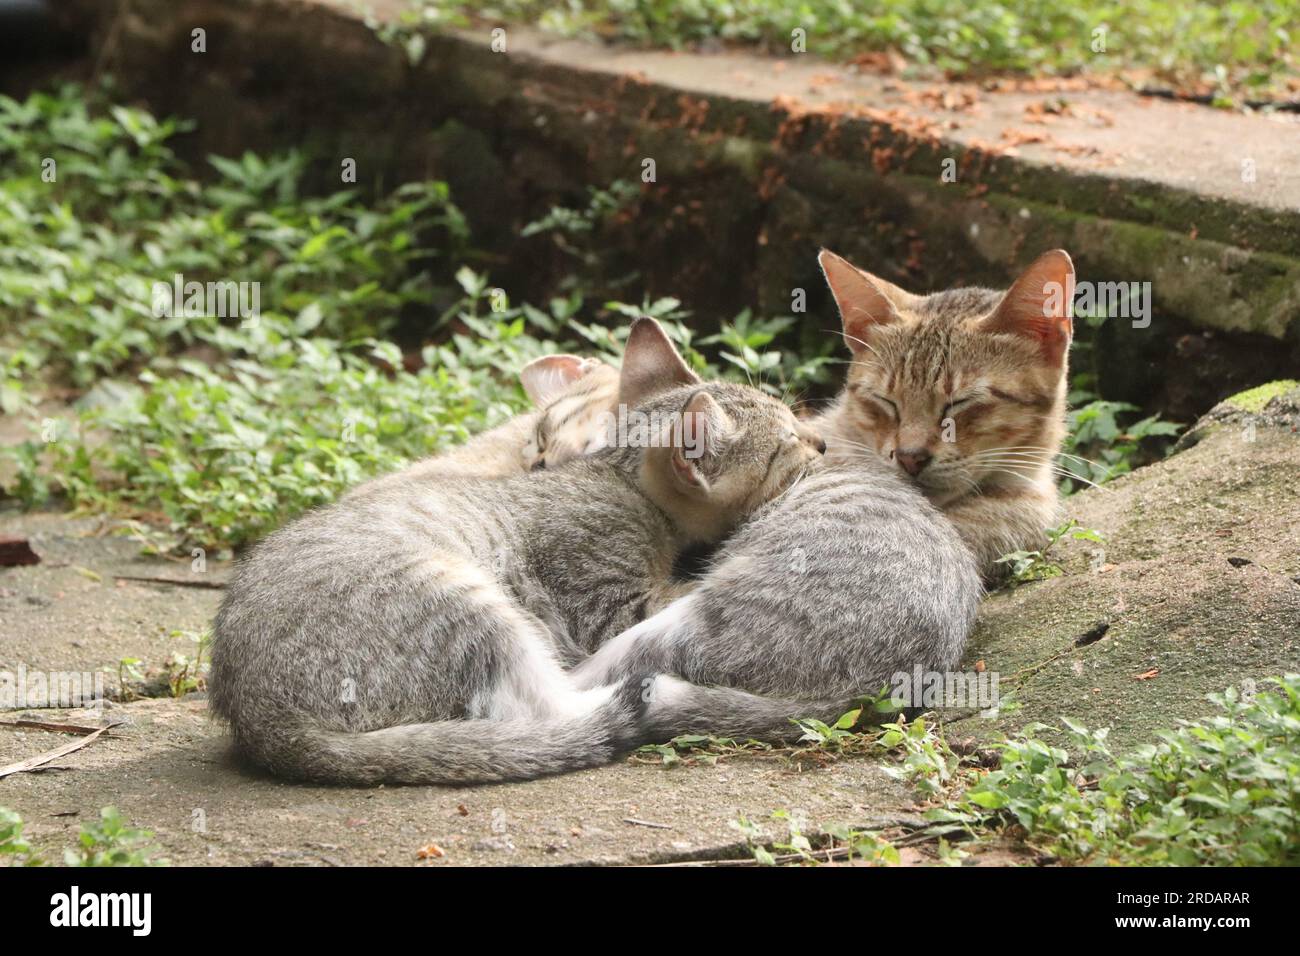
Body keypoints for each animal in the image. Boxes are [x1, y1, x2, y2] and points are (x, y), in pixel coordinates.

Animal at [211, 319, 821, 785]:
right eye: (787, 444)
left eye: (796, 415)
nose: (819, 440)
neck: (615, 475)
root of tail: (258, 718)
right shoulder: (606, 600)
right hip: (466, 605)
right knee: (551, 705)